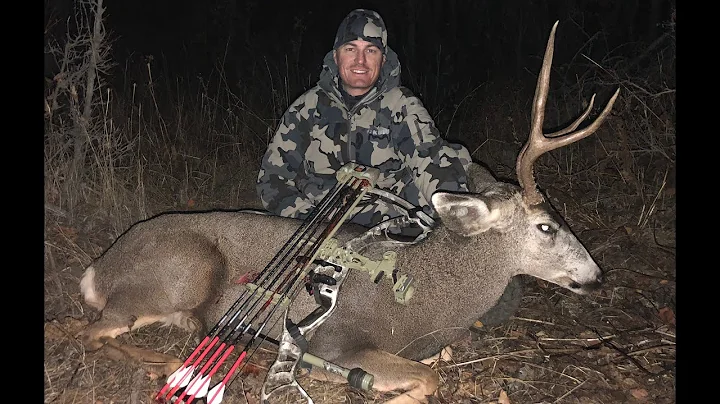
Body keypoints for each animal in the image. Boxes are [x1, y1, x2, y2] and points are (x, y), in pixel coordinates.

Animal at [78, 22, 619, 404]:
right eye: (546, 226)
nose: (596, 276)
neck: (427, 298)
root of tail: (97, 267)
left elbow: (432, 369)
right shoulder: (338, 343)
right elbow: (426, 381)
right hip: (183, 273)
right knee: (91, 331)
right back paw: (166, 363)